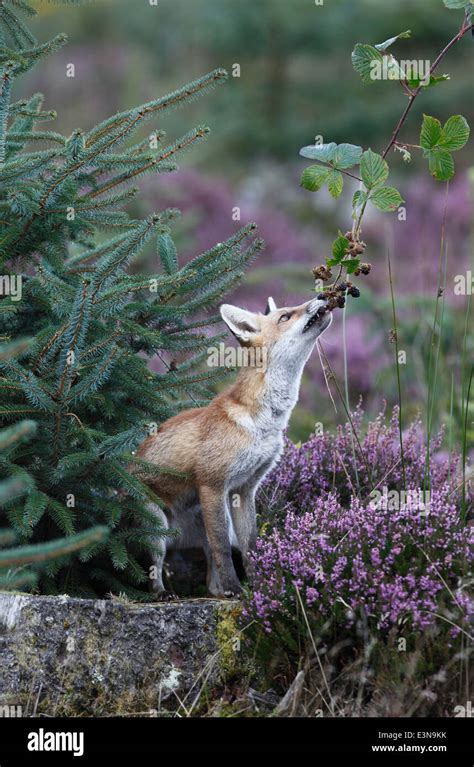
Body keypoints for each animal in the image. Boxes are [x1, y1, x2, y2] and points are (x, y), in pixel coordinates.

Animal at [136, 296, 334, 596]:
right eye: (285, 317)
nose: (321, 297)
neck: (263, 423)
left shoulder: (244, 489)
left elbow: (249, 546)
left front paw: (259, 586)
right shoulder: (212, 484)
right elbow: (223, 550)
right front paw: (235, 589)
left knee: (209, 578)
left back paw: (216, 592)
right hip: (158, 529)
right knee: (157, 568)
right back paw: (161, 592)